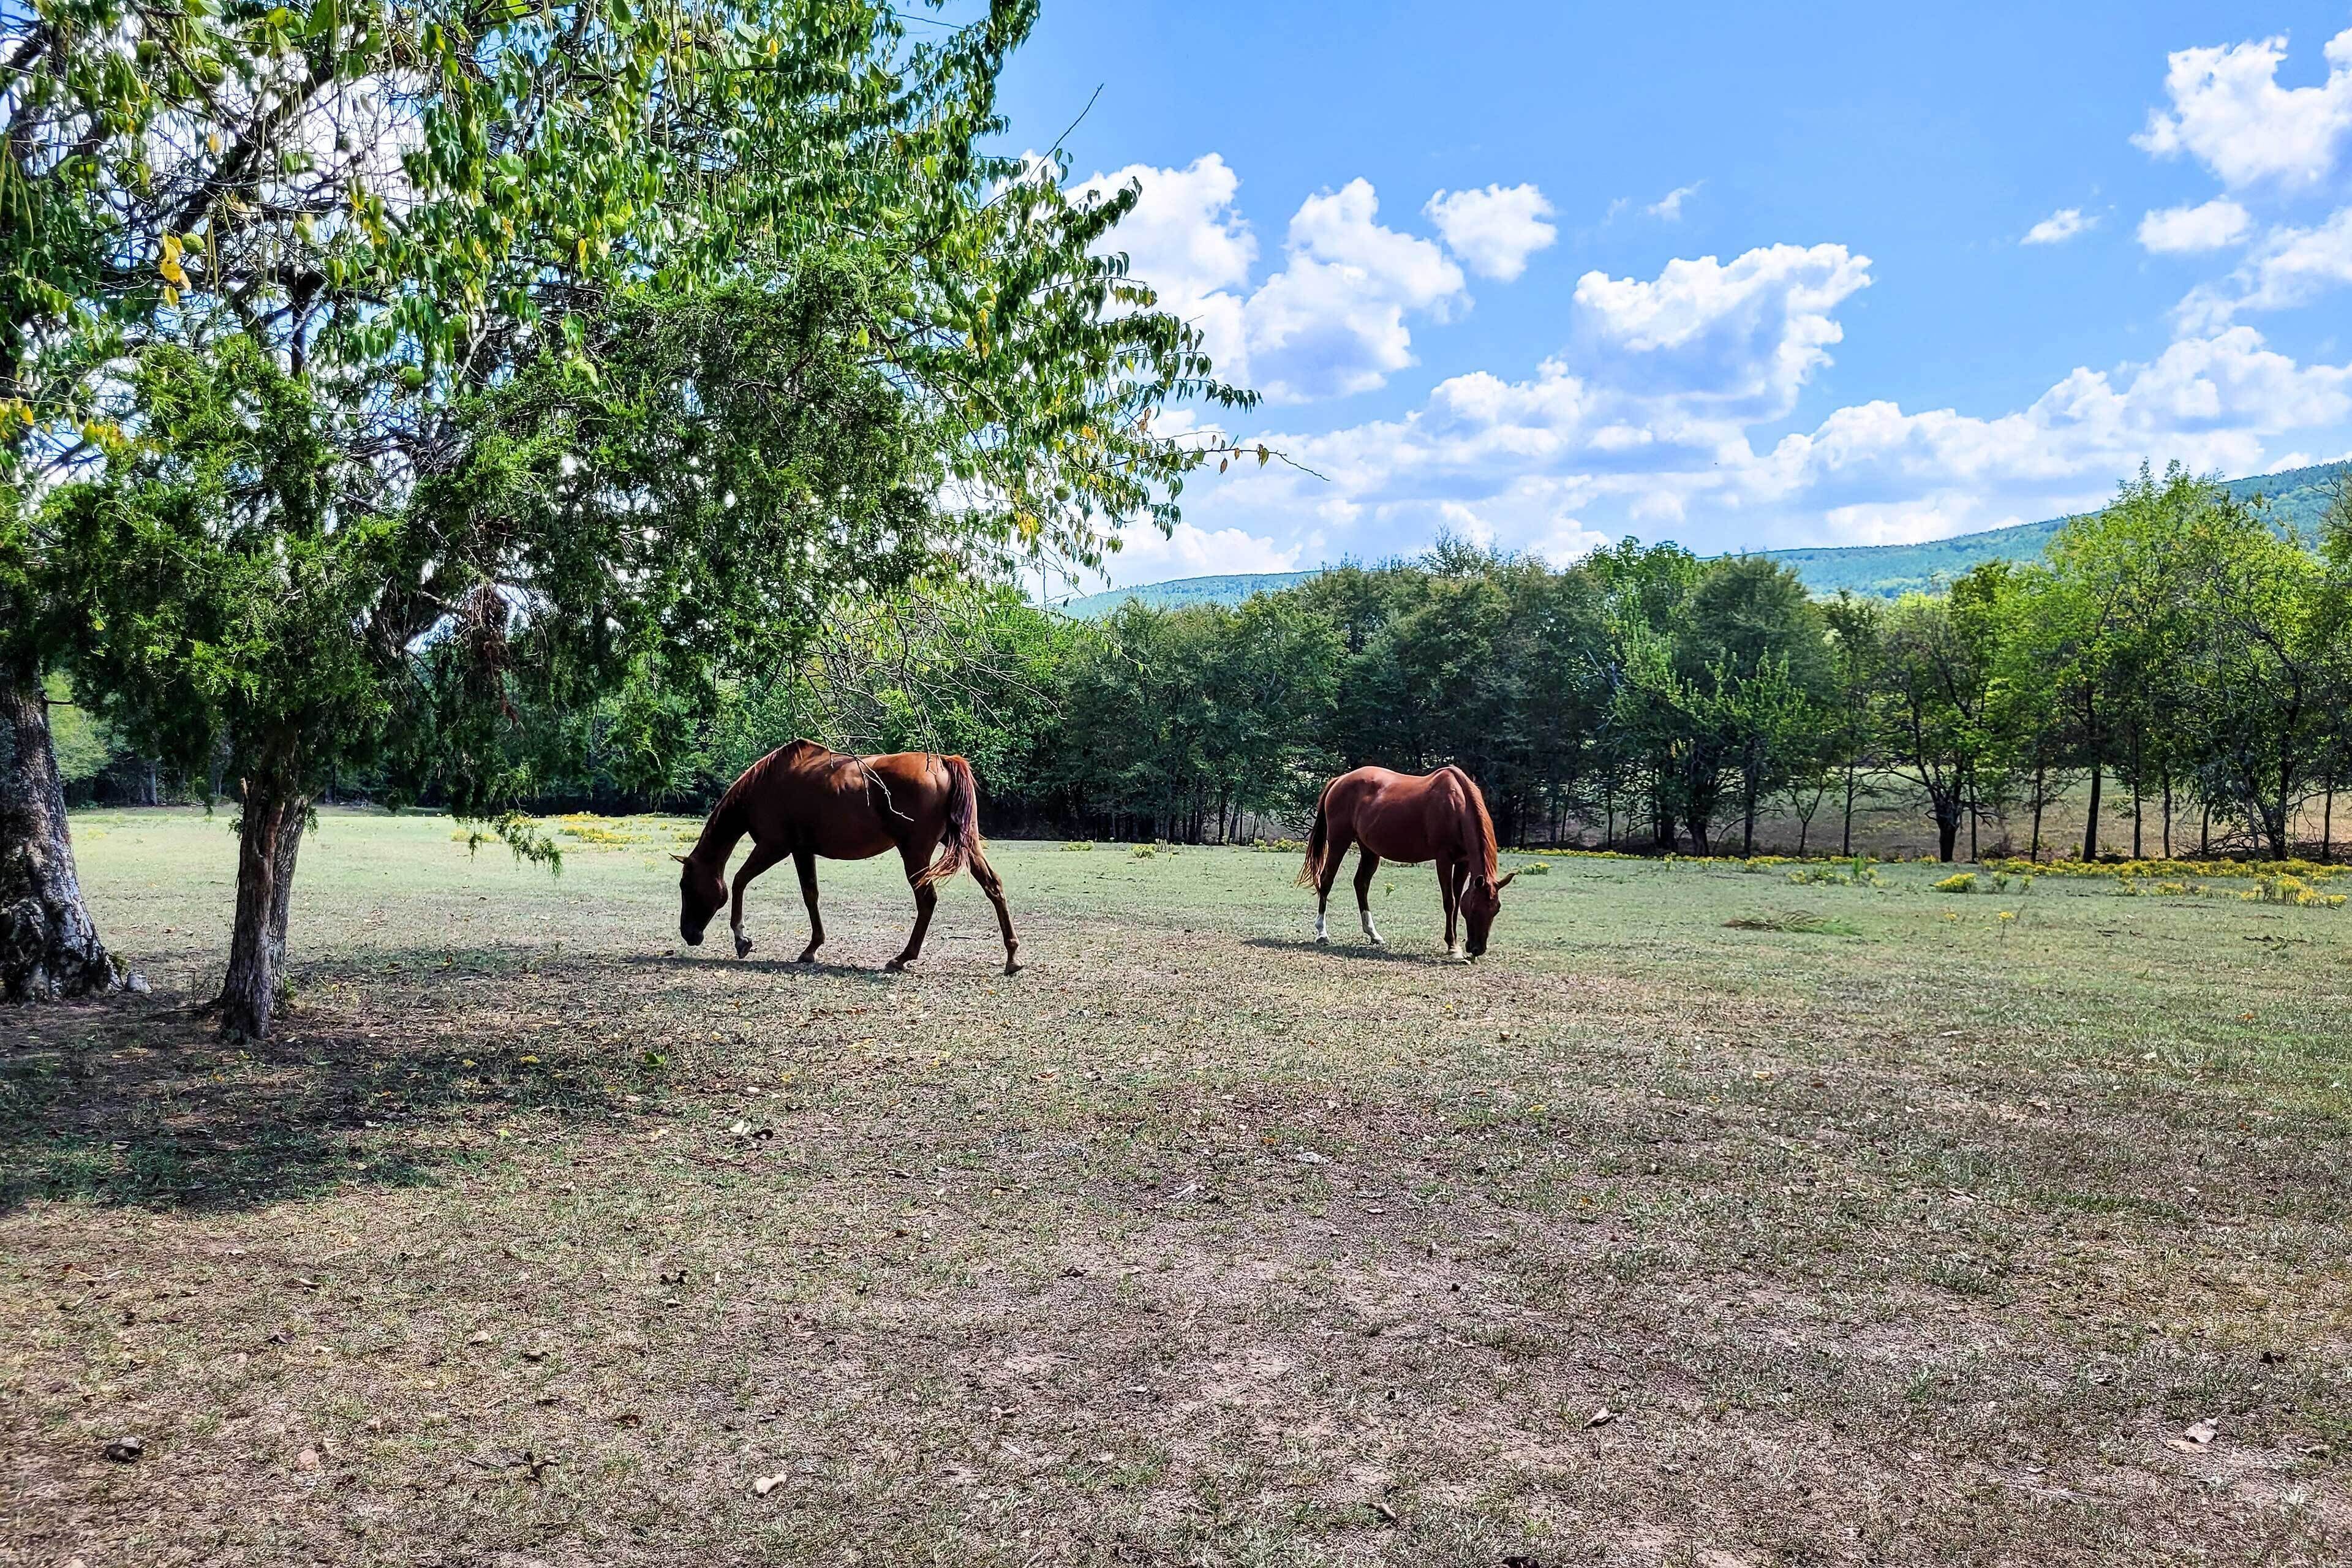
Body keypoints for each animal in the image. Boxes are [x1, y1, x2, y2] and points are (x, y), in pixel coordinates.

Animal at [674, 740, 1020, 975]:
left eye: (685, 886)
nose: (689, 934)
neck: (767, 784)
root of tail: (944, 761)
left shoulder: (774, 847)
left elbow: (739, 881)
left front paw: (742, 939)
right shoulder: (803, 851)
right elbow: (811, 895)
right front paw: (812, 948)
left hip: (915, 852)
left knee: (927, 900)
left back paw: (903, 957)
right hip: (964, 845)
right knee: (994, 887)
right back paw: (1012, 956)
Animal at [1297, 765, 1517, 960]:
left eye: (1496, 909)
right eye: (1473, 908)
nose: (1477, 949)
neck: (1457, 806)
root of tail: (1340, 780)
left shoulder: (1463, 862)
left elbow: (1456, 900)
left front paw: (1453, 945)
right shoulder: (1444, 860)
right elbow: (1450, 902)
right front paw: (1453, 947)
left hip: (1369, 850)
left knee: (1361, 884)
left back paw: (1373, 934)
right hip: (1338, 842)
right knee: (1327, 881)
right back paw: (1322, 933)